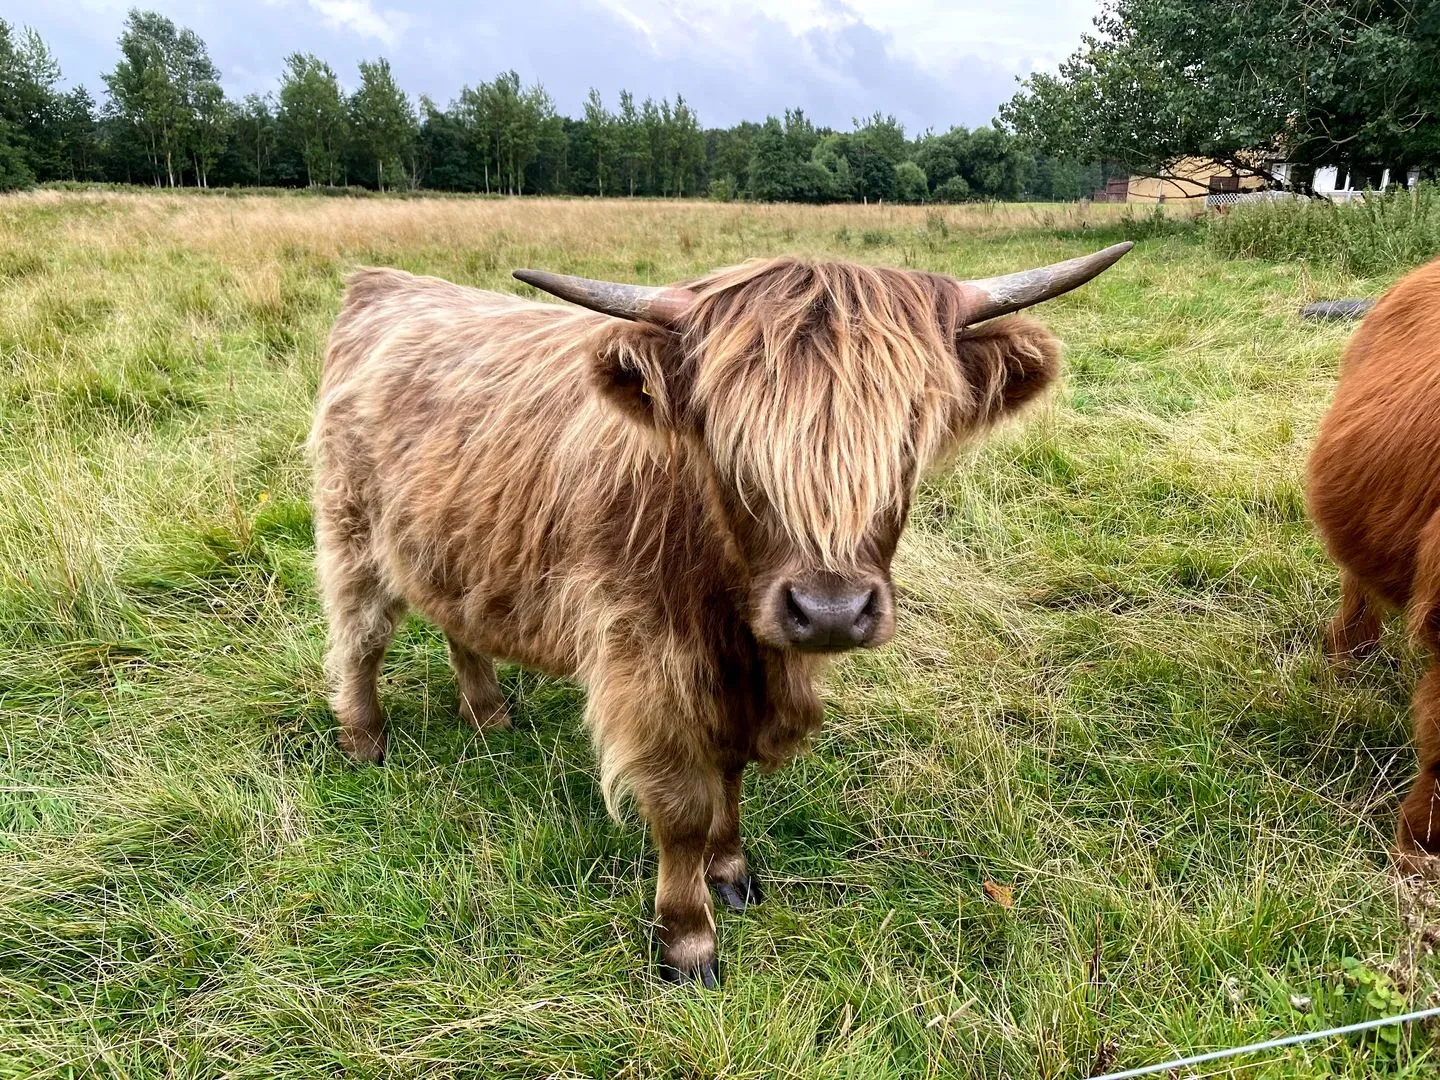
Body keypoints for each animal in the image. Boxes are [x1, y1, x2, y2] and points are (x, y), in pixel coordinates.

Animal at [309, 247, 1128, 990]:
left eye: (910, 433)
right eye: (729, 437)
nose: (831, 612)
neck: (734, 620)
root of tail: (384, 282)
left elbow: (730, 775)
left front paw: (731, 870)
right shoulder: (646, 666)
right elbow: (681, 810)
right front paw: (687, 940)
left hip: (453, 543)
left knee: (458, 624)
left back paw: (488, 716)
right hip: (352, 533)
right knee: (359, 639)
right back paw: (364, 741)